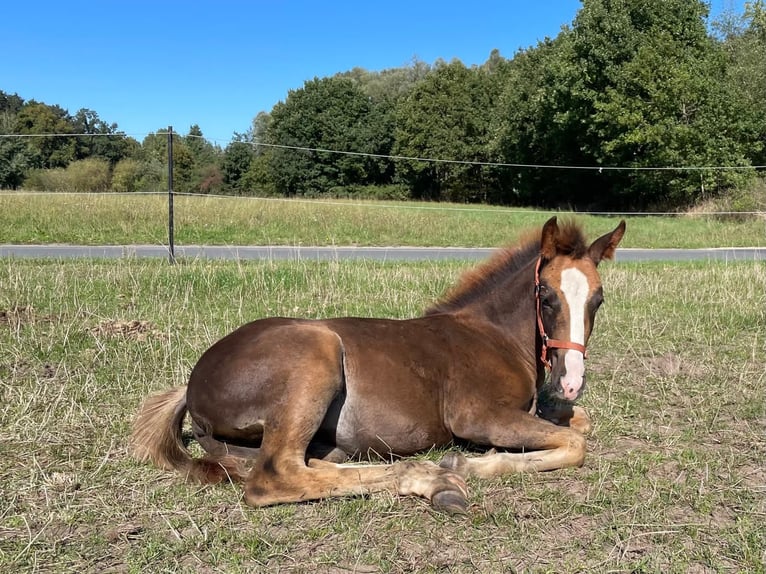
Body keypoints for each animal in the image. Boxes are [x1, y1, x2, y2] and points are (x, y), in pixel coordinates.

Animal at [131, 216, 625, 513]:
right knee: (272, 476)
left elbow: (579, 422)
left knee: (308, 463)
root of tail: (193, 383)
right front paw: (468, 463)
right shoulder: (476, 415)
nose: (570, 381)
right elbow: (575, 443)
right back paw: (431, 477)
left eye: (598, 300)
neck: (495, 334)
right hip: (316, 355)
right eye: (546, 296)